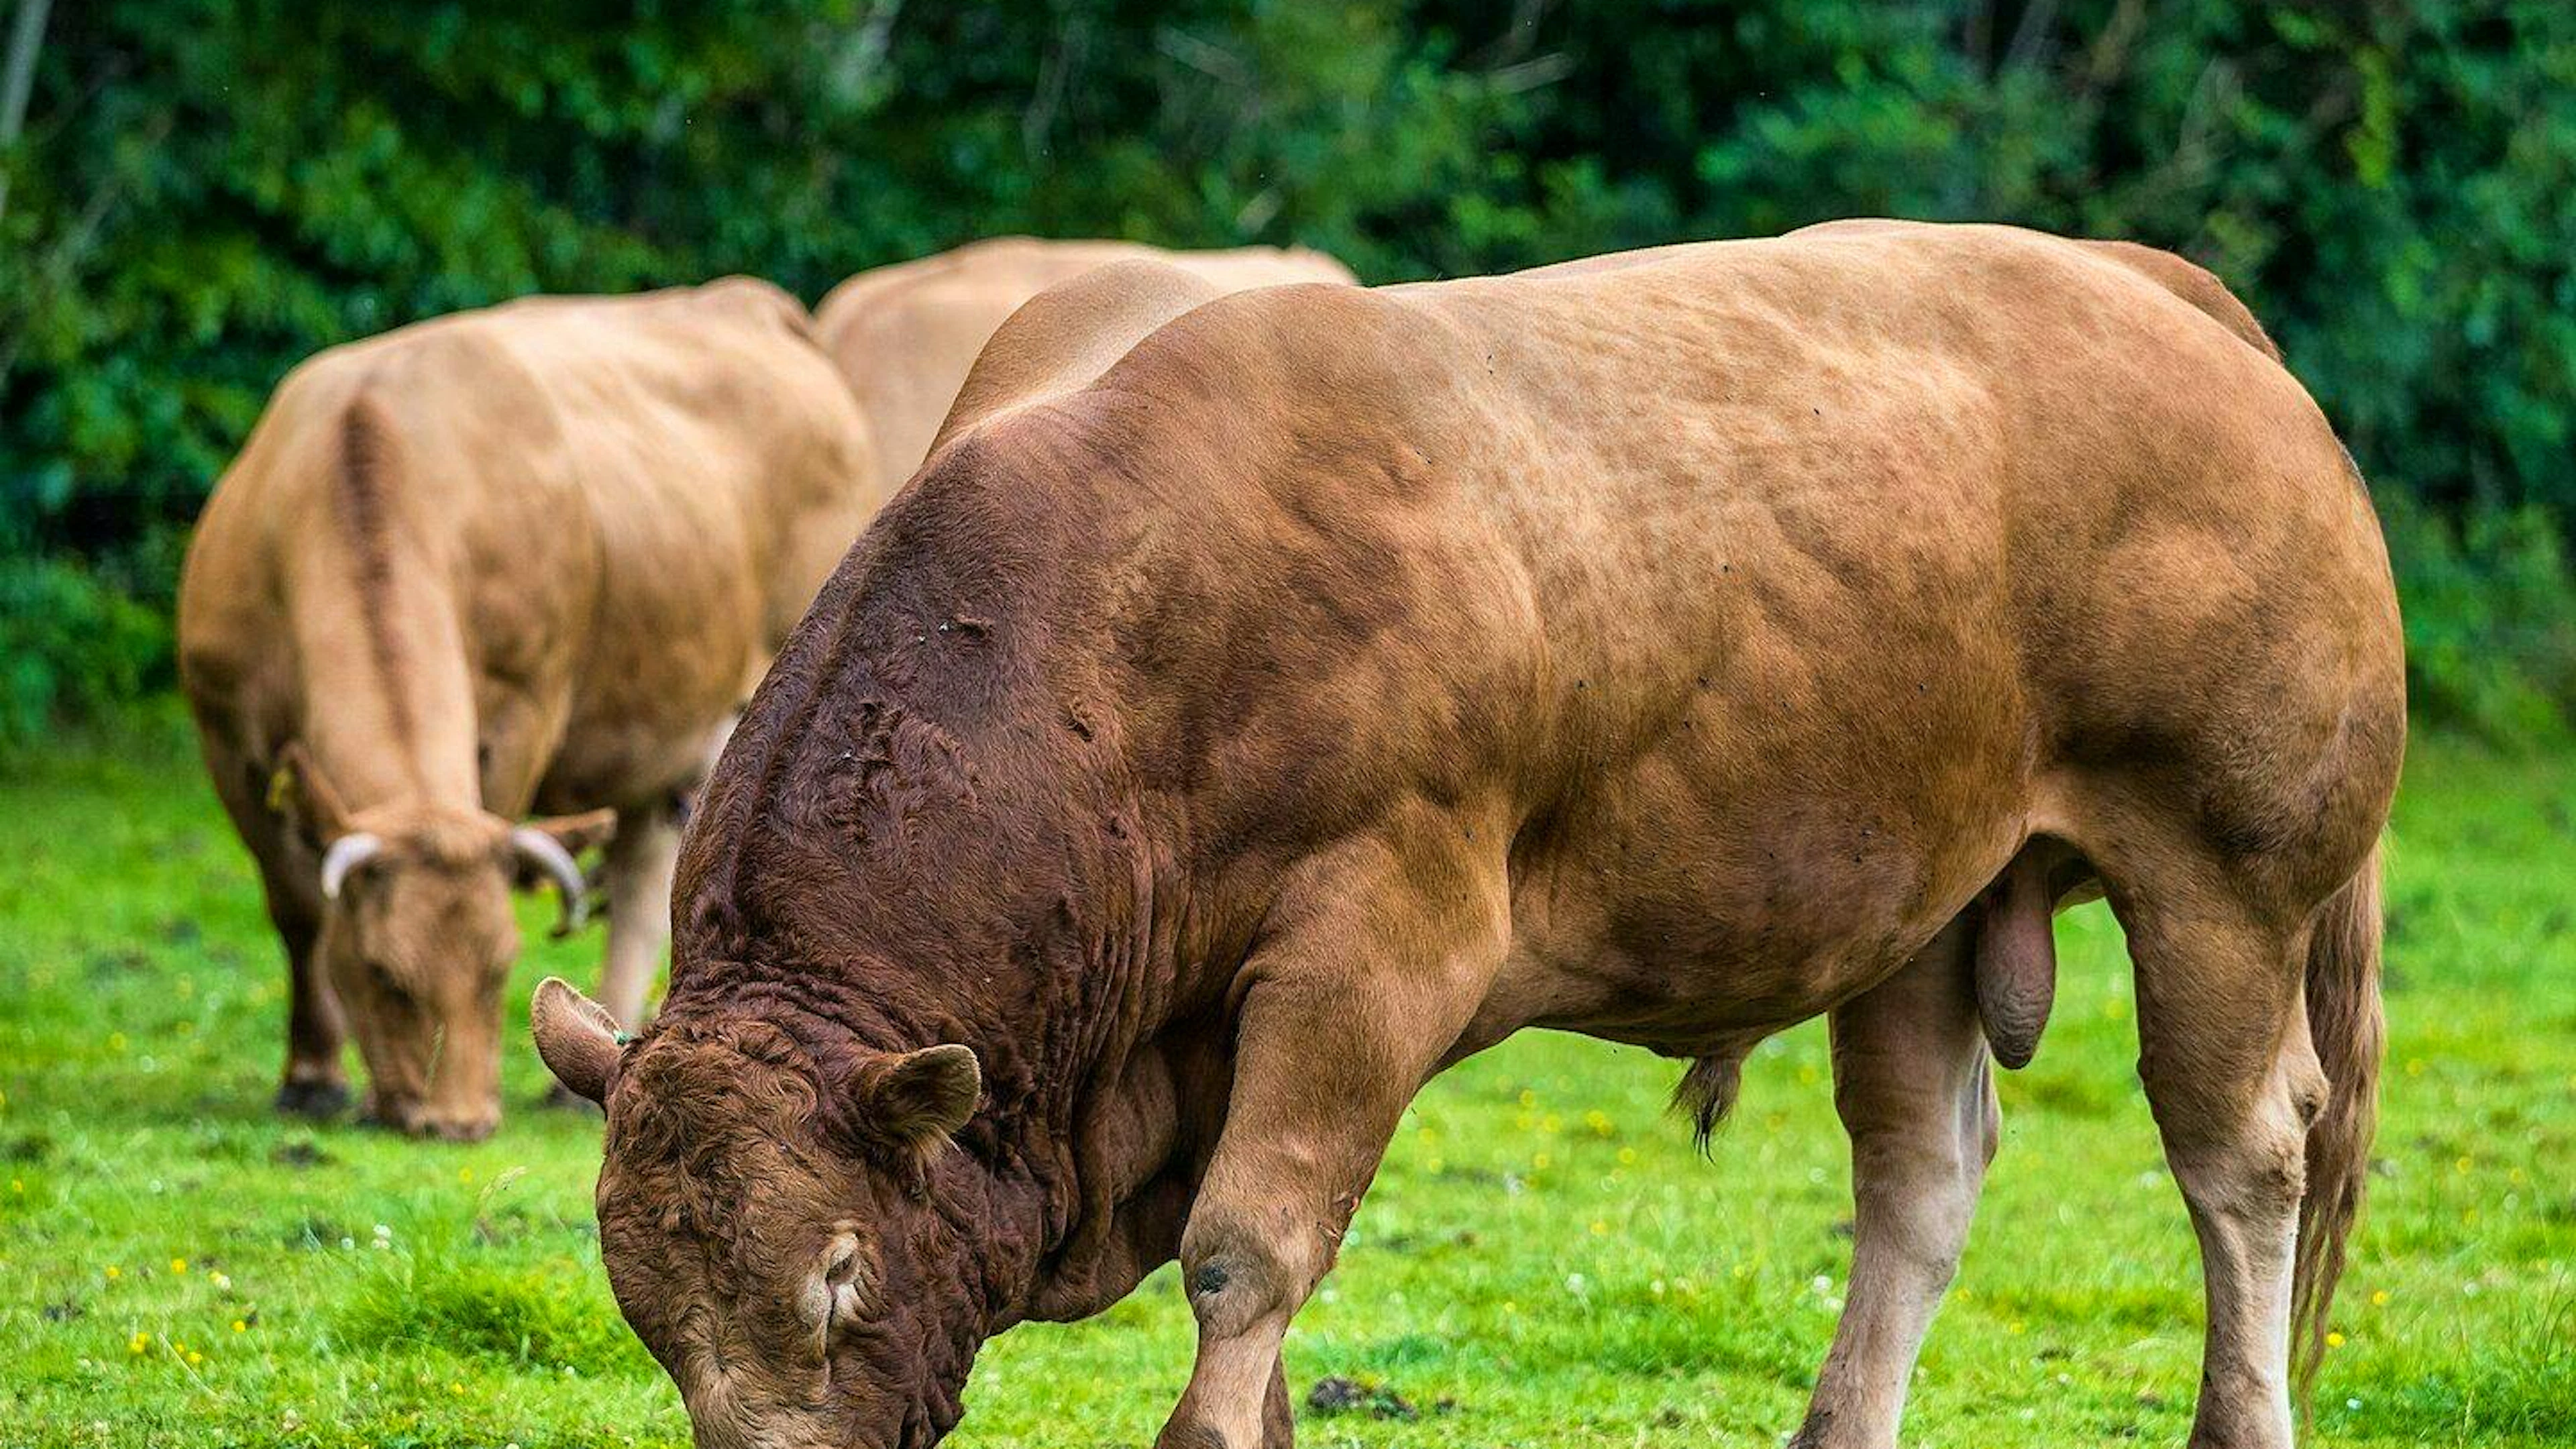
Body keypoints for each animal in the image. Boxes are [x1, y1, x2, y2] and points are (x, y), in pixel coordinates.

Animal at [179, 278, 887, 1141]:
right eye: (382, 974)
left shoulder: (521, 710)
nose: (458, 1122)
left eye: (500, 968)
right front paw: (313, 1076)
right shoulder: (226, 739)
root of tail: (744, 300)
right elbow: (298, 910)